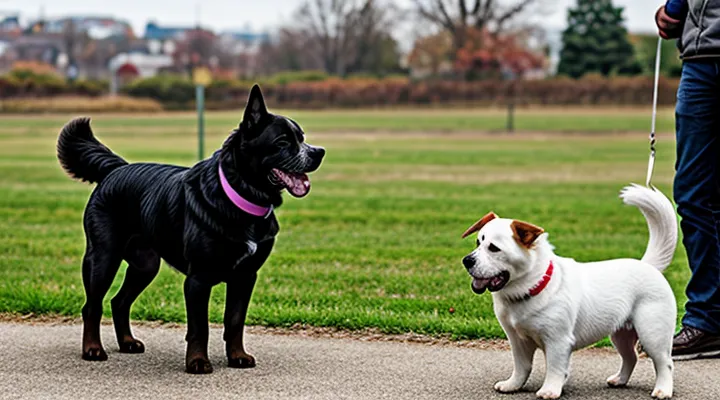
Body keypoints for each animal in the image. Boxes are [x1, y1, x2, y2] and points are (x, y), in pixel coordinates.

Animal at [57, 85, 326, 376]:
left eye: (302, 138)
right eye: (283, 142)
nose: (319, 152)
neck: (237, 196)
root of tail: (116, 170)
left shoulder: (245, 276)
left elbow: (235, 321)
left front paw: (237, 357)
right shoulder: (198, 280)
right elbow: (200, 327)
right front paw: (197, 362)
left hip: (145, 265)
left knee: (119, 302)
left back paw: (128, 343)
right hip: (103, 258)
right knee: (92, 306)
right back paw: (93, 349)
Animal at [464, 185, 676, 400]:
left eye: (493, 248)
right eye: (478, 243)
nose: (467, 261)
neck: (533, 287)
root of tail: (648, 265)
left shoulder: (558, 341)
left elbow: (555, 369)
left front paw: (550, 390)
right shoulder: (518, 341)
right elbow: (522, 368)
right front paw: (513, 385)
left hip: (652, 334)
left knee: (664, 363)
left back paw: (663, 390)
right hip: (621, 334)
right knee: (631, 357)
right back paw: (620, 380)